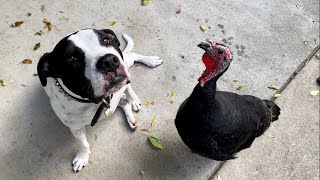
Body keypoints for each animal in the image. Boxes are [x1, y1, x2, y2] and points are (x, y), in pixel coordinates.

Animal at [37, 28, 162, 172]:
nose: (109, 61)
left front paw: (133, 97)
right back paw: (131, 118)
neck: (95, 101)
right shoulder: (75, 128)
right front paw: (82, 157)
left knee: (131, 59)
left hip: (125, 62)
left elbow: (128, 87)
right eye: (71, 58)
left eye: (106, 40)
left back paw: (149, 63)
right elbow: (83, 144)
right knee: (124, 102)